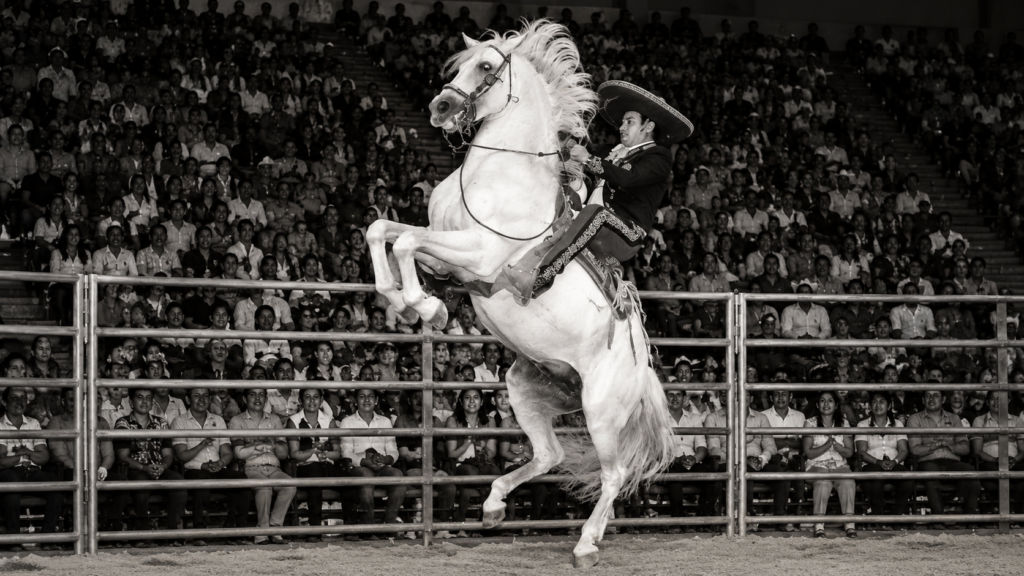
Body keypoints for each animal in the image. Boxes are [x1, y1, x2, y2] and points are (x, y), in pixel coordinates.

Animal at [365, 20, 674, 568]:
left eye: (487, 67)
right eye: (460, 65)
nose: (440, 107)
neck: (500, 177)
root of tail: (643, 368)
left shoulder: (479, 253)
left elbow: (403, 241)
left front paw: (428, 308)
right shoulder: (445, 253)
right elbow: (383, 230)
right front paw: (403, 301)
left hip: (600, 408)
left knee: (612, 473)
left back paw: (585, 544)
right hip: (528, 389)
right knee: (551, 454)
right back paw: (493, 507)